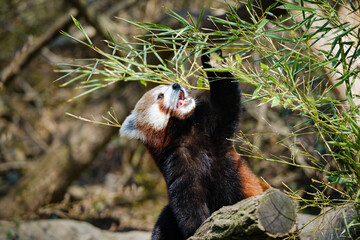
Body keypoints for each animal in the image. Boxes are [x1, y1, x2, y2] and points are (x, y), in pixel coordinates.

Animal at [119, 49, 268, 240]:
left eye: (167, 86)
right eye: (160, 96)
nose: (176, 85)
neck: (186, 132)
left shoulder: (212, 127)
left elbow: (227, 100)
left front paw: (213, 59)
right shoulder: (176, 161)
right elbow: (188, 201)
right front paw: (197, 228)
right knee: (165, 220)